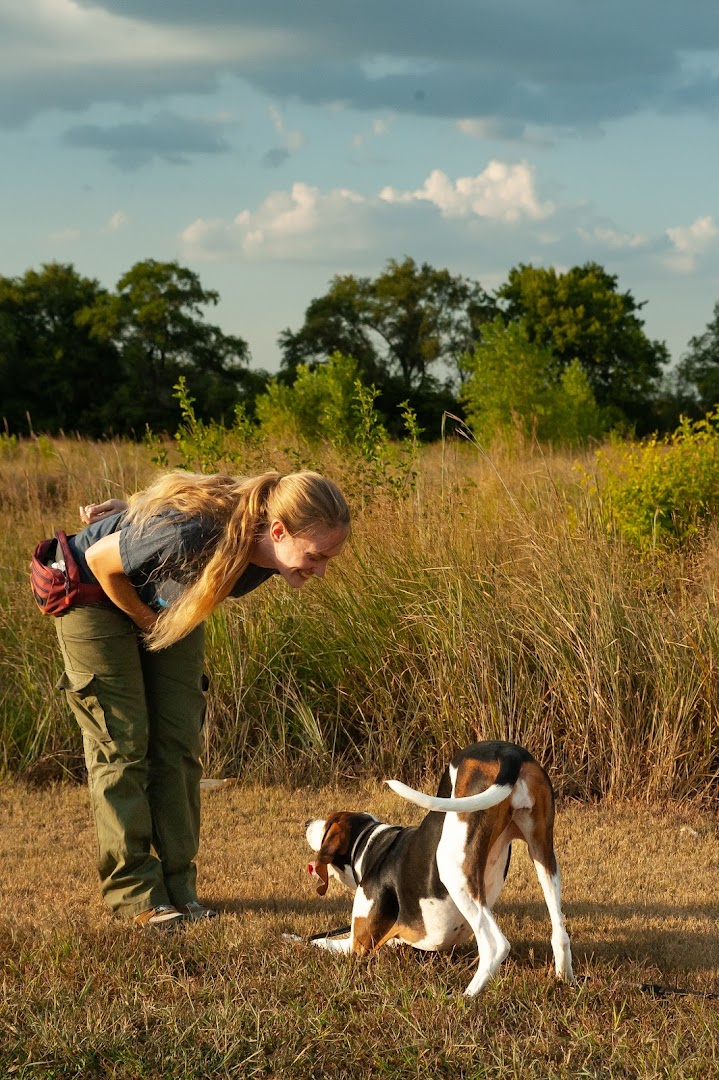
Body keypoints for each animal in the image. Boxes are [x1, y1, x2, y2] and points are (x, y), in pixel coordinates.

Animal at [300, 743, 570, 993]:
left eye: (328, 824)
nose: (307, 822)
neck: (370, 843)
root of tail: (508, 751)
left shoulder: (359, 944)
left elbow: (317, 941)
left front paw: (296, 940)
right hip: (543, 855)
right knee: (560, 934)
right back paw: (564, 980)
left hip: (454, 870)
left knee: (495, 945)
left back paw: (467, 996)